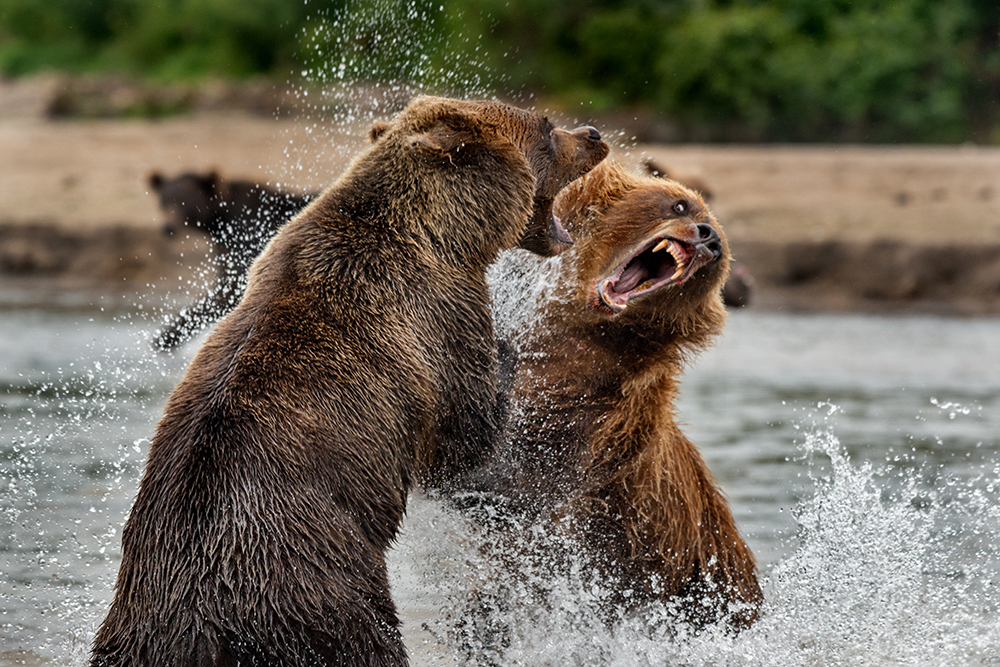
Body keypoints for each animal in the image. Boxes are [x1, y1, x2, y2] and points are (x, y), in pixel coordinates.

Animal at [147, 171, 316, 351]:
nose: (167, 228)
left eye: (184, 201)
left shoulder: (247, 237)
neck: (219, 221)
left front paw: (165, 337)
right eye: (164, 201)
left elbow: (227, 290)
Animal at [463, 159, 762, 634]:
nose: (709, 237)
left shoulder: (605, 422)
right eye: (680, 204)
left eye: (718, 252)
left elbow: (522, 477)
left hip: (707, 581)